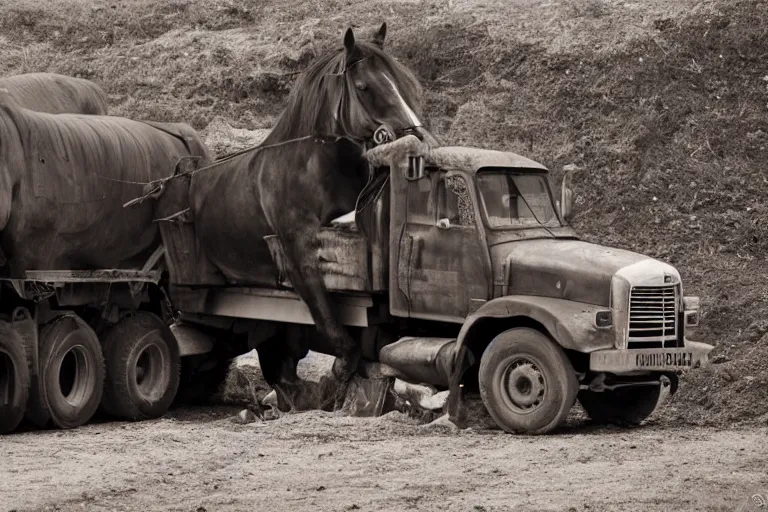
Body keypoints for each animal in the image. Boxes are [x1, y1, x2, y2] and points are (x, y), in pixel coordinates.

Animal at [189, 24, 436, 408]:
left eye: (402, 83)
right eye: (364, 86)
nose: (418, 138)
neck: (314, 171)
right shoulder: (299, 256)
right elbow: (334, 331)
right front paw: (333, 384)